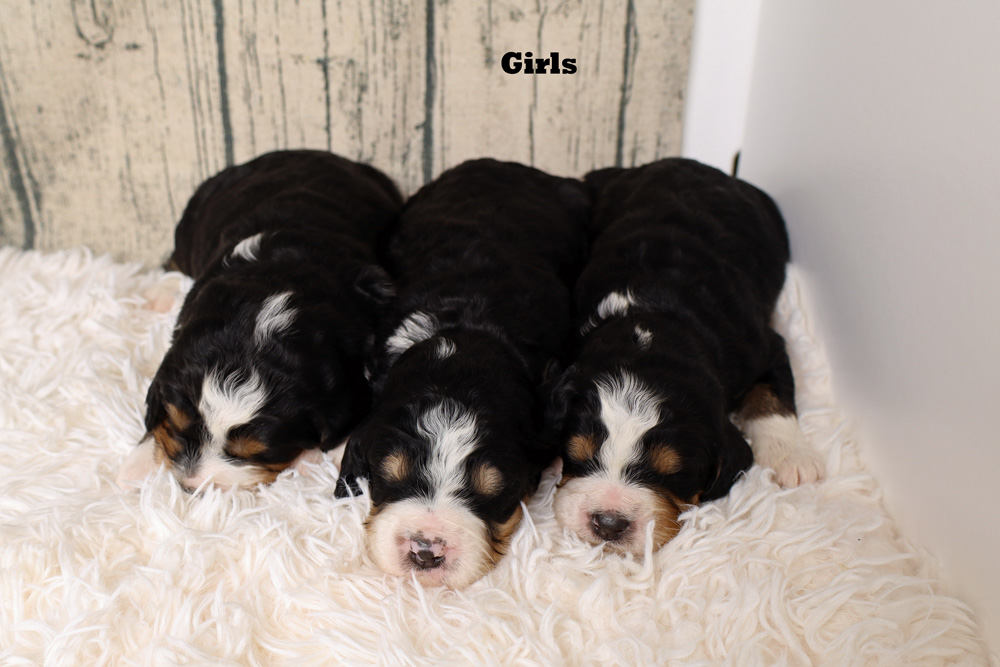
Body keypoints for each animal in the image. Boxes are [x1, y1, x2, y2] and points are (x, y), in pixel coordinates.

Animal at [545, 158, 825, 556]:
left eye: (674, 472)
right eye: (576, 455)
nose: (609, 523)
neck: (653, 324)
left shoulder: (766, 345)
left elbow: (772, 394)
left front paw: (792, 458)